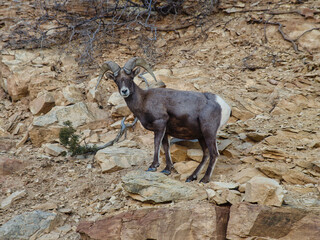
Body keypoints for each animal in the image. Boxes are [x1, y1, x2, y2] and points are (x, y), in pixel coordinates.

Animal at [96, 57, 231, 183]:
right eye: (116, 80)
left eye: (130, 78)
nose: (124, 91)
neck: (143, 101)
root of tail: (223, 105)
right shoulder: (166, 131)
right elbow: (166, 147)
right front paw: (167, 169)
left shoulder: (160, 125)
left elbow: (156, 143)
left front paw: (153, 166)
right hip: (201, 136)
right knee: (206, 154)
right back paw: (191, 177)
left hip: (209, 133)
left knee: (214, 154)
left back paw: (204, 179)